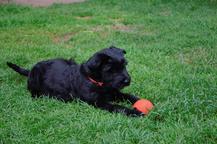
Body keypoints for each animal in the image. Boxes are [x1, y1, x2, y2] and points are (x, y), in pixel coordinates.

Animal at [6, 46, 143, 116]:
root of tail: (30, 71)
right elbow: (117, 107)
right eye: (111, 70)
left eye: (124, 65)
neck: (96, 81)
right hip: (35, 77)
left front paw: (138, 100)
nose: (127, 80)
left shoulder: (114, 92)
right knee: (33, 91)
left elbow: (128, 96)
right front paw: (134, 112)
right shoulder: (98, 103)